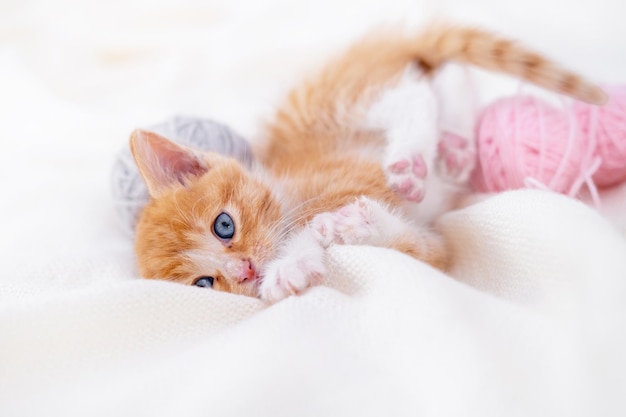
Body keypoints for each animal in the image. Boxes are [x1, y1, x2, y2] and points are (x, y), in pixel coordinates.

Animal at [129, 22, 604, 300]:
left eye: (223, 225)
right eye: (205, 283)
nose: (244, 270)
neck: (284, 193)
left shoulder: (347, 181)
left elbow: (313, 227)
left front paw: (290, 263)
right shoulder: (435, 247)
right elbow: (418, 247)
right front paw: (362, 228)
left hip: (332, 101)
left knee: (411, 92)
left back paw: (411, 156)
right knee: (441, 81)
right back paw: (455, 146)